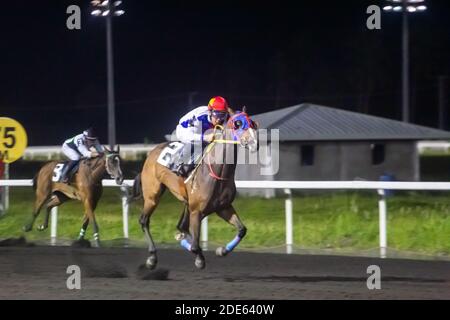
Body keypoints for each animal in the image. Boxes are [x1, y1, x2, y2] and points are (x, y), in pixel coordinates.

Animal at [134, 109, 258, 268]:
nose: (254, 142)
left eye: (252, 122)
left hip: (186, 204)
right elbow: (194, 246)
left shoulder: (223, 207)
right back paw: (152, 257)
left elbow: (242, 230)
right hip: (152, 196)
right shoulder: (196, 211)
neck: (217, 172)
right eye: (237, 123)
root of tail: (151, 152)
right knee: (144, 220)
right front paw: (200, 259)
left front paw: (222, 250)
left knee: (181, 226)